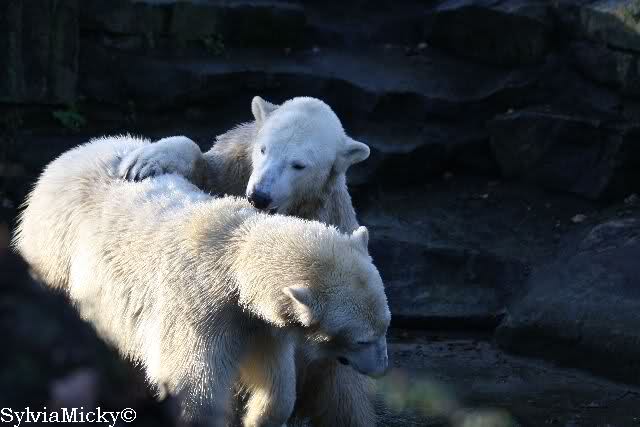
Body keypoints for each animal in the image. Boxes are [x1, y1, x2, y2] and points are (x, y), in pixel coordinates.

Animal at [13, 135, 391, 427]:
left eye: (386, 325)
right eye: (361, 339)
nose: (381, 368)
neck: (233, 256)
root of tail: (67, 157)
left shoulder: (258, 325)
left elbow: (275, 381)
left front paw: (262, 415)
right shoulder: (199, 312)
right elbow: (195, 390)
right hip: (55, 248)